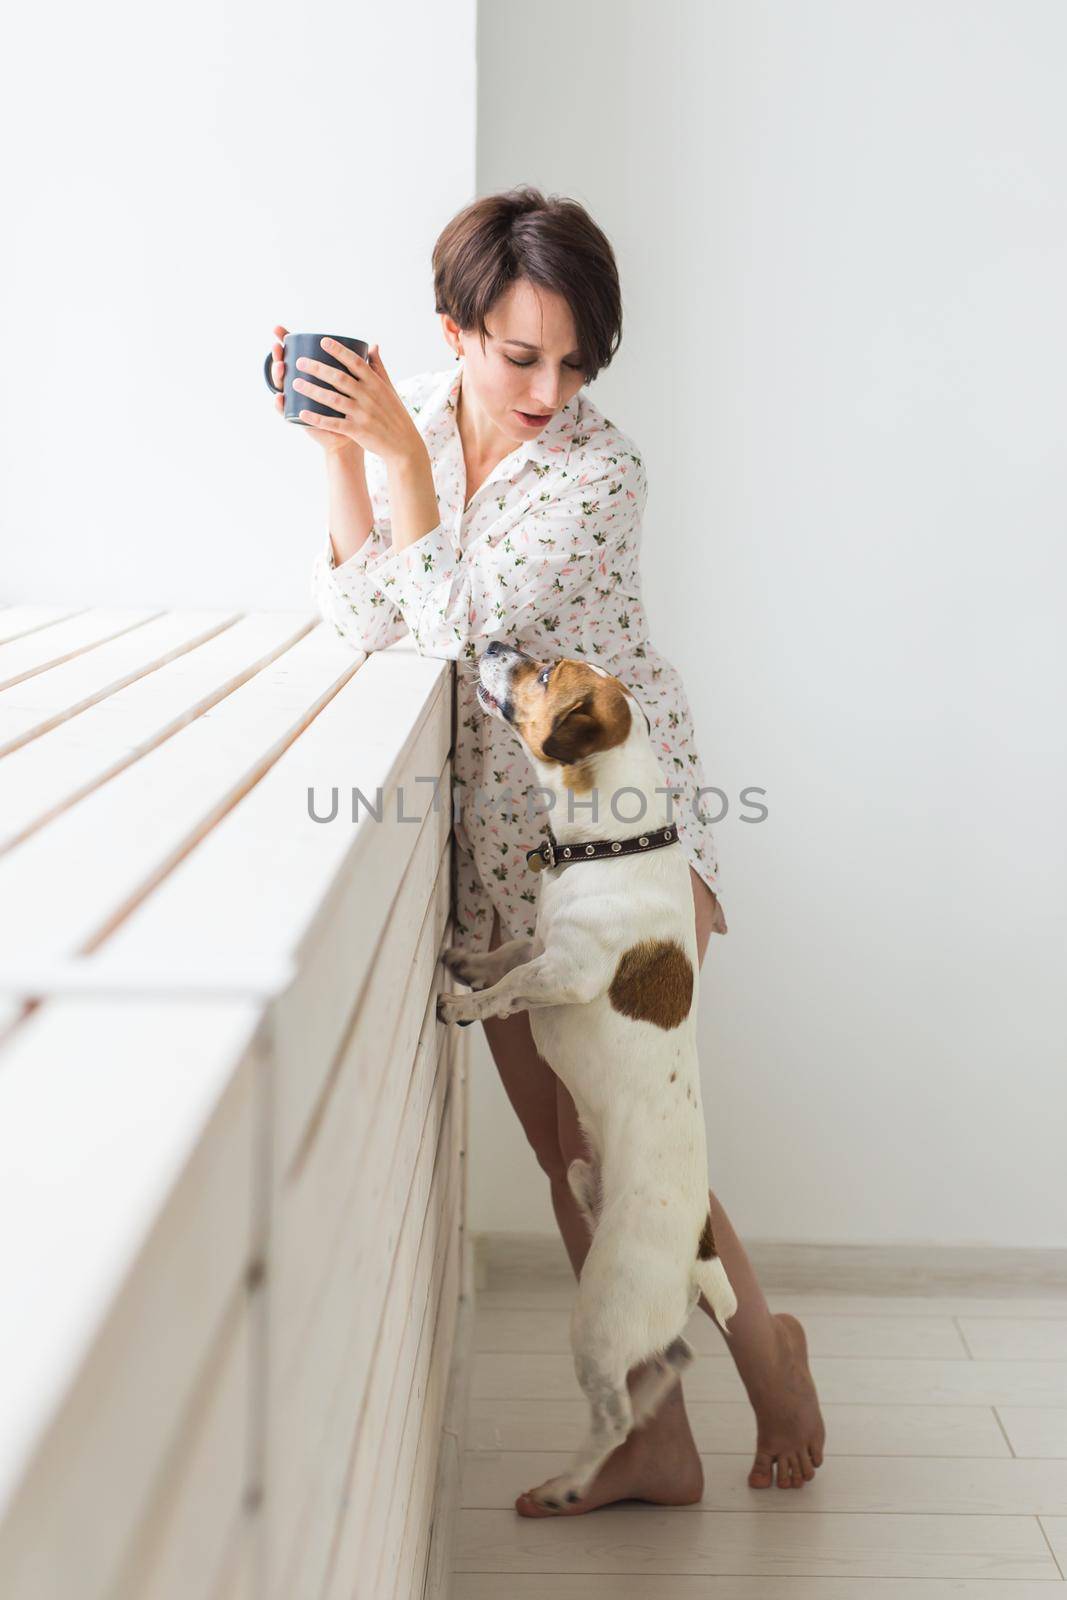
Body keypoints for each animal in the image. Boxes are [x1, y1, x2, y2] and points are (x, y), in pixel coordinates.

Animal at [438, 640, 739, 1510]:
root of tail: (698, 1255)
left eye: (542, 674)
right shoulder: (541, 943)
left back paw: (568, 1486)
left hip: (599, 1315)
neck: (611, 841)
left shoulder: (567, 973)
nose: (493, 643)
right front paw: (468, 962)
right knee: (673, 1361)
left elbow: (513, 985)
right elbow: (512, 950)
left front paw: (462, 1001)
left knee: (614, 1415)